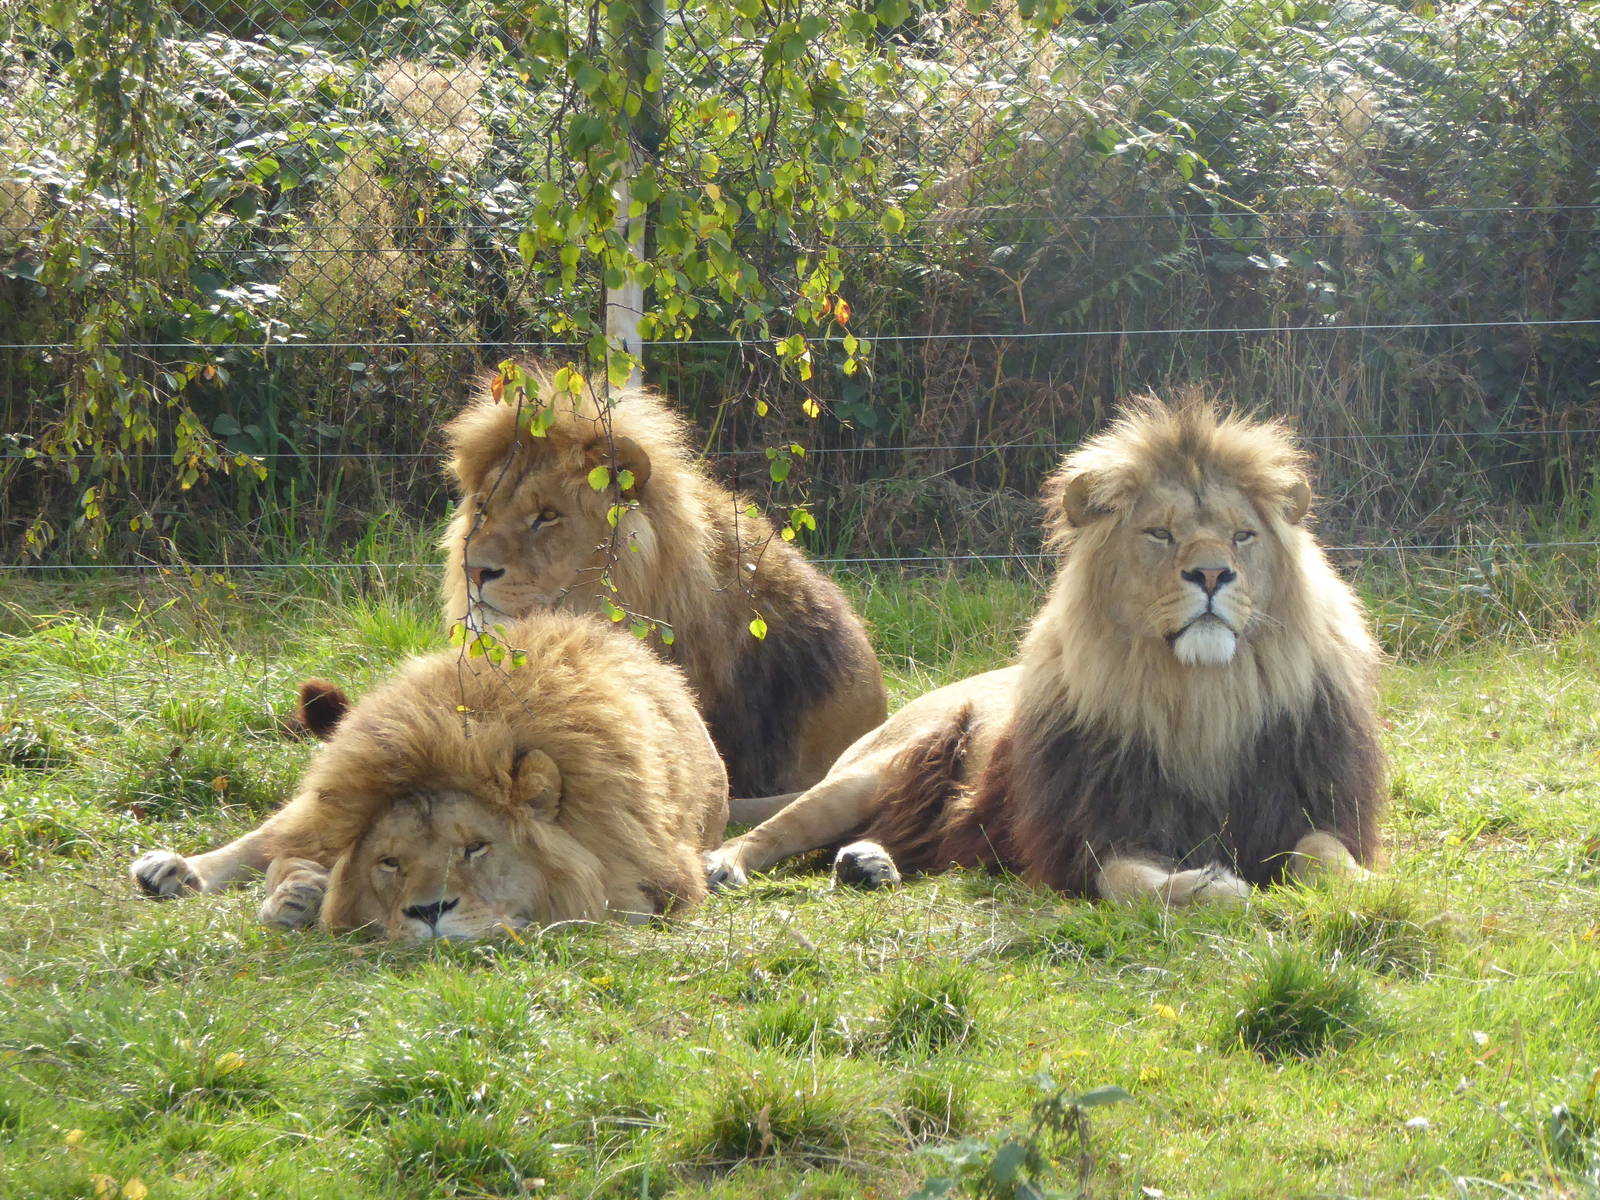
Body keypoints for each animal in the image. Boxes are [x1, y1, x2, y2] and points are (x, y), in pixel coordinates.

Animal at [131, 611, 729, 939]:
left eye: (476, 848)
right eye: (390, 861)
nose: (428, 912)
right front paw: (296, 892)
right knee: (273, 837)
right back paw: (177, 870)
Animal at [705, 394, 1385, 905]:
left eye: (1243, 535)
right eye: (1159, 534)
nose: (1214, 574)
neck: (1203, 698)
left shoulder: (1308, 809)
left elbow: (1324, 856)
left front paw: (1365, 888)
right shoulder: (1088, 836)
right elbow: (1130, 883)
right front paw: (1212, 886)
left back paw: (868, 863)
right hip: (867, 774)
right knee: (776, 831)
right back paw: (726, 865)